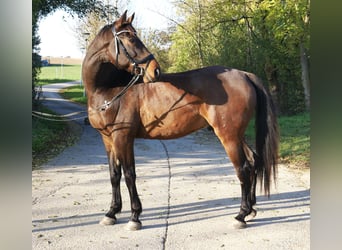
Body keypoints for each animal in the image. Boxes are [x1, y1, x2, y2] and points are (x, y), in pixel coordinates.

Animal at [82, 11, 278, 230]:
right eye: (131, 38)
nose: (155, 70)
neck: (109, 90)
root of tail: (244, 74)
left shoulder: (123, 137)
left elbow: (129, 175)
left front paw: (135, 217)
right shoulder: (108, 139)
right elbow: (114, 175)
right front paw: (111, 213)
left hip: (229, 136)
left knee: (243, 168)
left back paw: (241, 215)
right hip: (237, 135)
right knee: (252, 162)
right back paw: (251, 210)